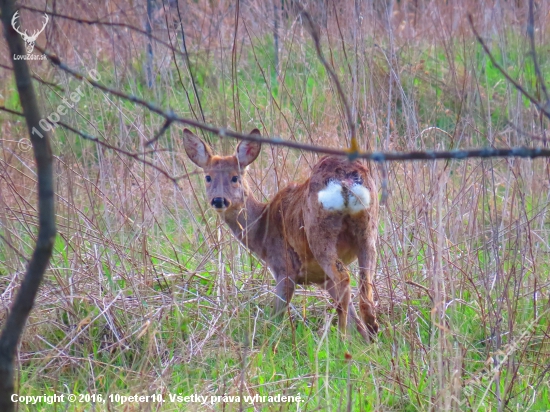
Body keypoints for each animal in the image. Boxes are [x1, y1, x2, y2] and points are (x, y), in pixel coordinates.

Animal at [183, 129, 382, 342]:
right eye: (208, 177)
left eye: (235, 177)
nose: (219, 200)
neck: (262, 229)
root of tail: (344, 180)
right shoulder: (322, 278)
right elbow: (351, 311)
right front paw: (365, 341)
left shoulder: (283, 267)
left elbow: (276, 315)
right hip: (368, 232)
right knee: (364, 281)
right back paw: (372, 328)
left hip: (319, 234)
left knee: (344, 277)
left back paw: (341, 335)